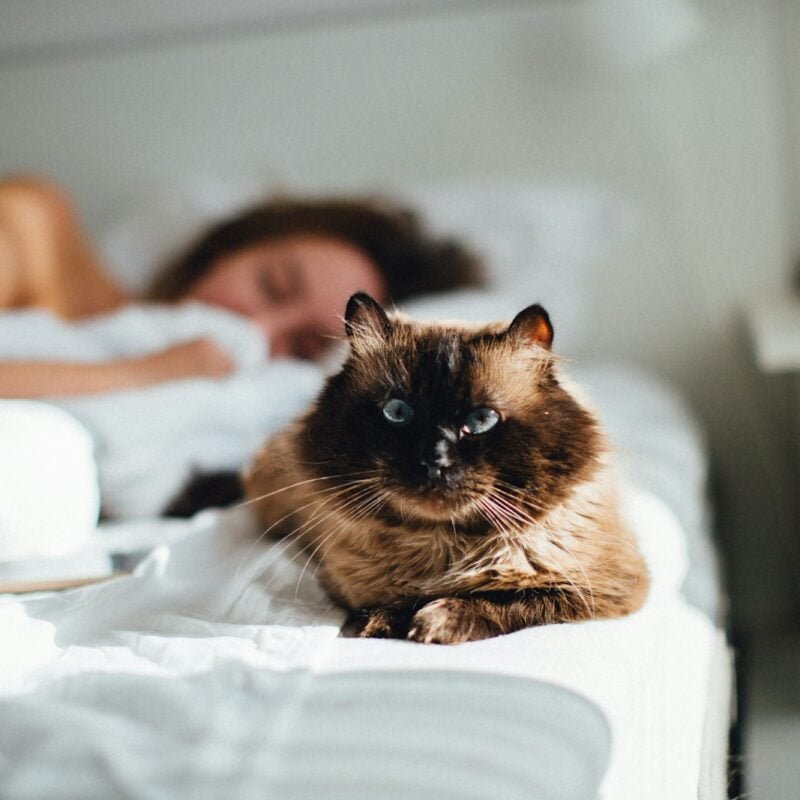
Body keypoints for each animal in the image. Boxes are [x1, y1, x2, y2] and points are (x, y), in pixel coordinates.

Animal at [245, 294, 648, 644]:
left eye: (481, 420)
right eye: (397, 412)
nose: (433, 462)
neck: (444, 546)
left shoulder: (593, 589)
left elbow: (506, 600)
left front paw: (434, 622)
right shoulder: (348, 582)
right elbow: (392, 601)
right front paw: (379, 623)